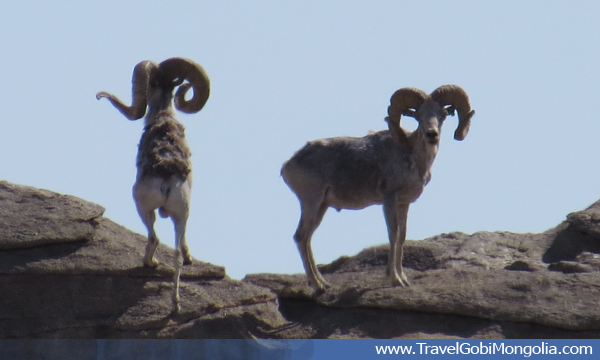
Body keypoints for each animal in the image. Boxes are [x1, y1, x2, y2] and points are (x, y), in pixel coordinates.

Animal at [96, 57, 211, 312]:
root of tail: (166, 180)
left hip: (143, 207)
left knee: (154, 238)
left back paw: (151, 264)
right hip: (181, 213)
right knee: (177, 254)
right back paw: (176, 304)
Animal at [282, 85, 474, 292]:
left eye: (443, 115)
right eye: (419, 116)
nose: (432, 135)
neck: (413, 159)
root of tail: (288, 165)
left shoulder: (403, 203)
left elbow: (402, 235)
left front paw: (404, 279)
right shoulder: (389, 198)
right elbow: (393, 233)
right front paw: (395, 279)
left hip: (321, 207)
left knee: (307, 238)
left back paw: (323, 283)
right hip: (311, 202)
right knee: (301, 236)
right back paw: (317, 285)